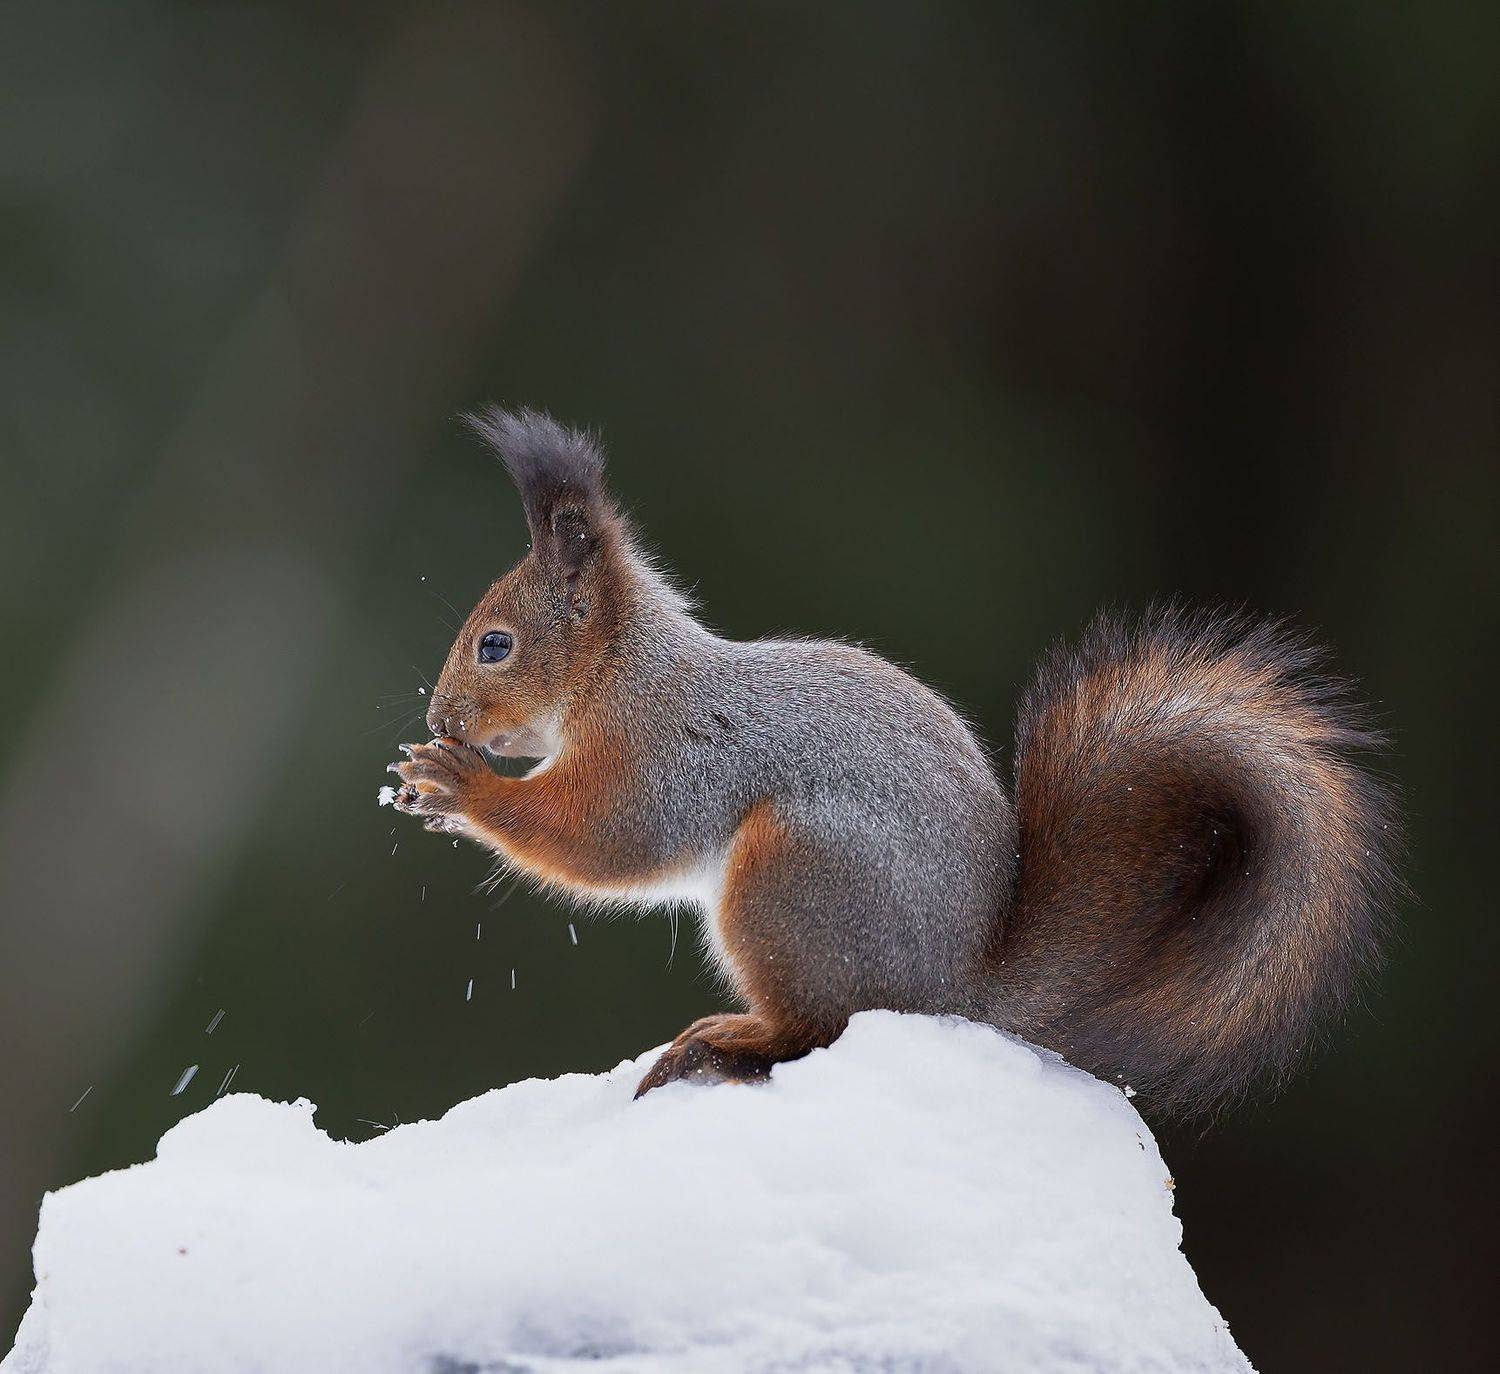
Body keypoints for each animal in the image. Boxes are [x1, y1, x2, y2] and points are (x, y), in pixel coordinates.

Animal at [388, 408, 1398, 1107]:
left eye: (495, 646)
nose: (441, 717)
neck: (617, 673)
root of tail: (957, 989)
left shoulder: (664, 751)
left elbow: (605, 839)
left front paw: (457, 784)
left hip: (795, 878)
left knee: (819, 1026)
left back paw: (731, 1039)